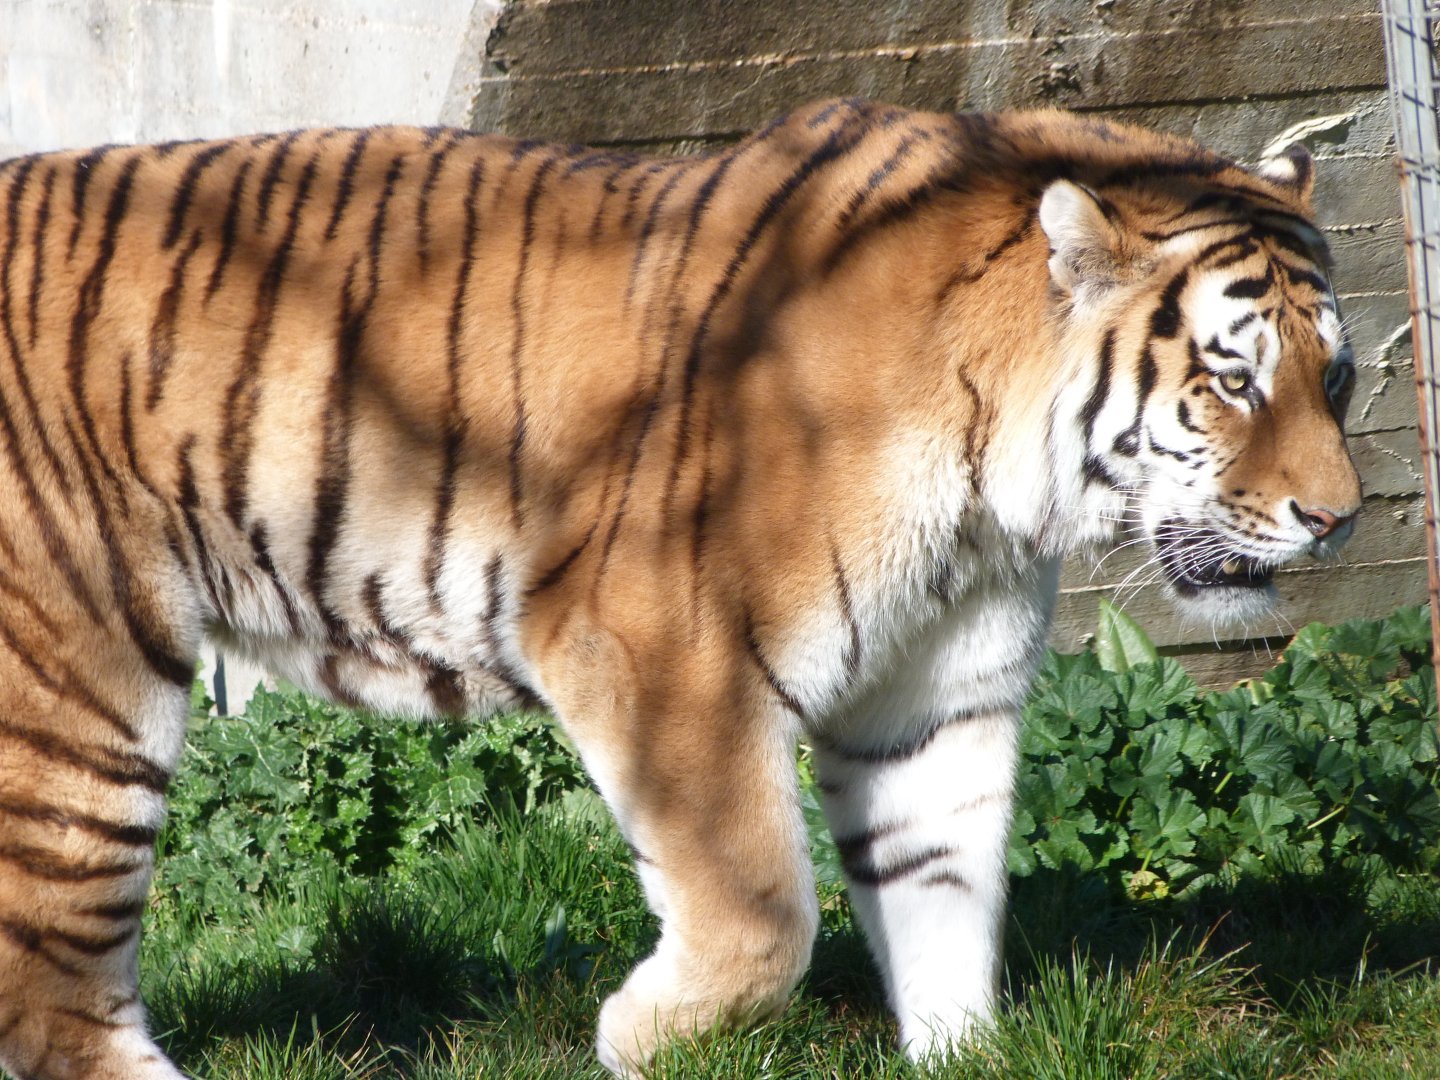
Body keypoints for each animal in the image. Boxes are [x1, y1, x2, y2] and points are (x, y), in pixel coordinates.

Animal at [0, 97, 1359, 1078]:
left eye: (1334, 380)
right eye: (1233, 381)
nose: (1338, 519)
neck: (995, 484)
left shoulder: (934, 697)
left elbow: (943, 896)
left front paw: (959, 1056)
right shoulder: (665, 653)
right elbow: (765, 915)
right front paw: (637, 1034)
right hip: (80, 699)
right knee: (53, 989)